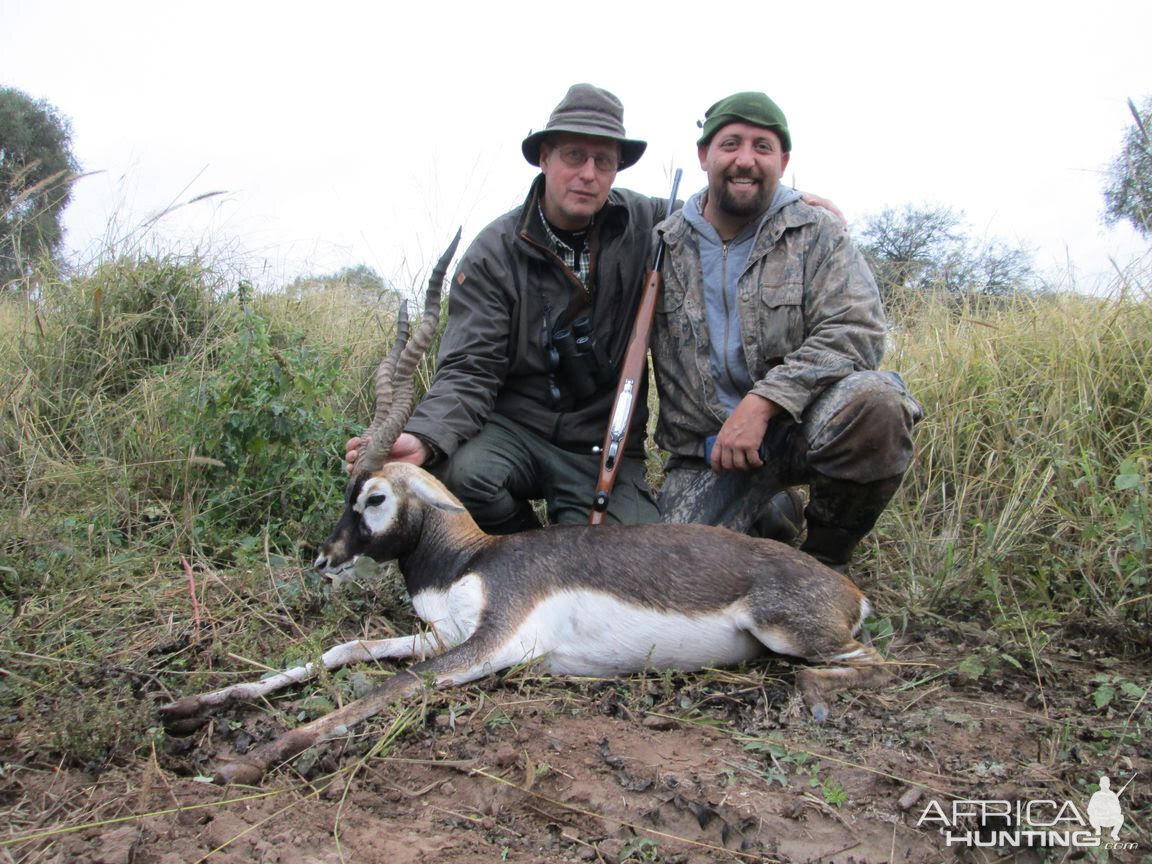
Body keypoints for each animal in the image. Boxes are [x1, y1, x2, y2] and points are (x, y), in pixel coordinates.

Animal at [157, 230, 884, 783]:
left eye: (374, 496)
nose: (324, 558)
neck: (467, 560)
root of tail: (848, 589)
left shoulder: (490, 642)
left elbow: (388, 686)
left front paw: (239, 763)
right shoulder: (446, 632)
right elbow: (347, 648)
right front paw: (190, 706)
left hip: (790, 633)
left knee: (869, 664)